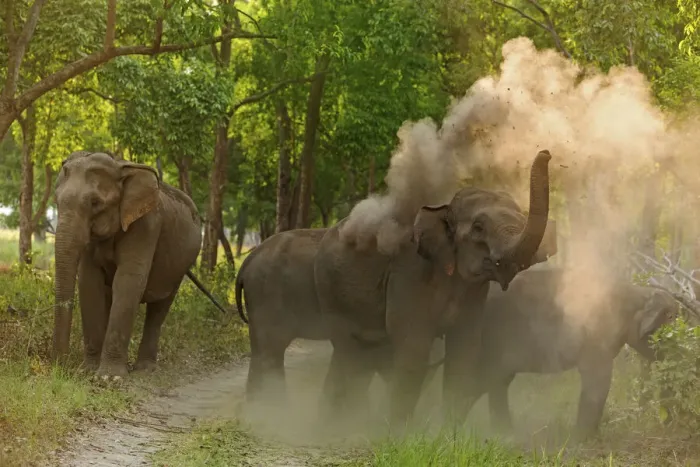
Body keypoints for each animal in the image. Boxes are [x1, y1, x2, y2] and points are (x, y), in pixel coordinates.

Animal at [52, 151, 227, 378]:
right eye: (56, 201)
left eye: (95, 203)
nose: (60, 365)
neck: (120, 167)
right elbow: (90, 283)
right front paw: (88, 371)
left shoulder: (146, 225)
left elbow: (128, 281)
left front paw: (109, 378)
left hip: (179, 266)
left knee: (159, 308)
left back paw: (145, 369)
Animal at [313, 150, 558, 428]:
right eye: (478, 227)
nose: (546, 153)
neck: (444, 208)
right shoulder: (408, 272)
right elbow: (414, 346)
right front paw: (398, 431)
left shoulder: (473, 291)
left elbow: (464, 348)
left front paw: (448, 432)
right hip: (328, 290)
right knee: (351, 356)